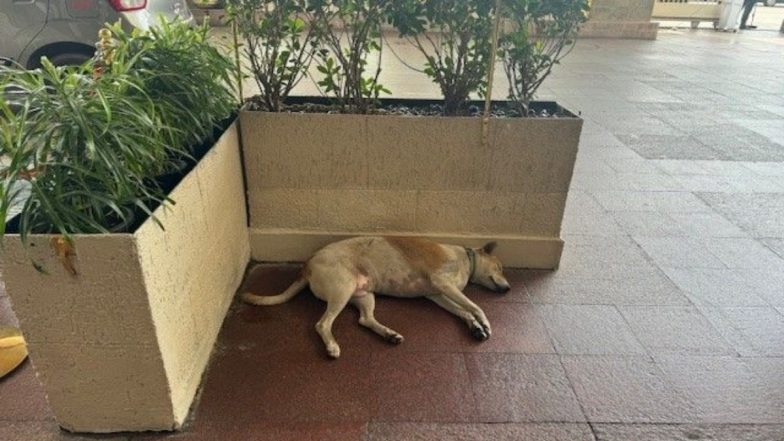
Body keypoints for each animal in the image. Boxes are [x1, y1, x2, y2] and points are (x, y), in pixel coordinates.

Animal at [240, 237, 508, 358]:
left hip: (364, 295)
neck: (466, 259)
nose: (508, 289)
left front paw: (475, 327)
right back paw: (332, 346)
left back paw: (389, 335)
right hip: (343, 289)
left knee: (365, 320)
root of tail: (307, 266)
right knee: (322, 324)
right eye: (500, 267)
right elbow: (476, 307)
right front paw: (484, 324)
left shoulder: (438, 295)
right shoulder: (444, 284)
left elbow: (463, 311)